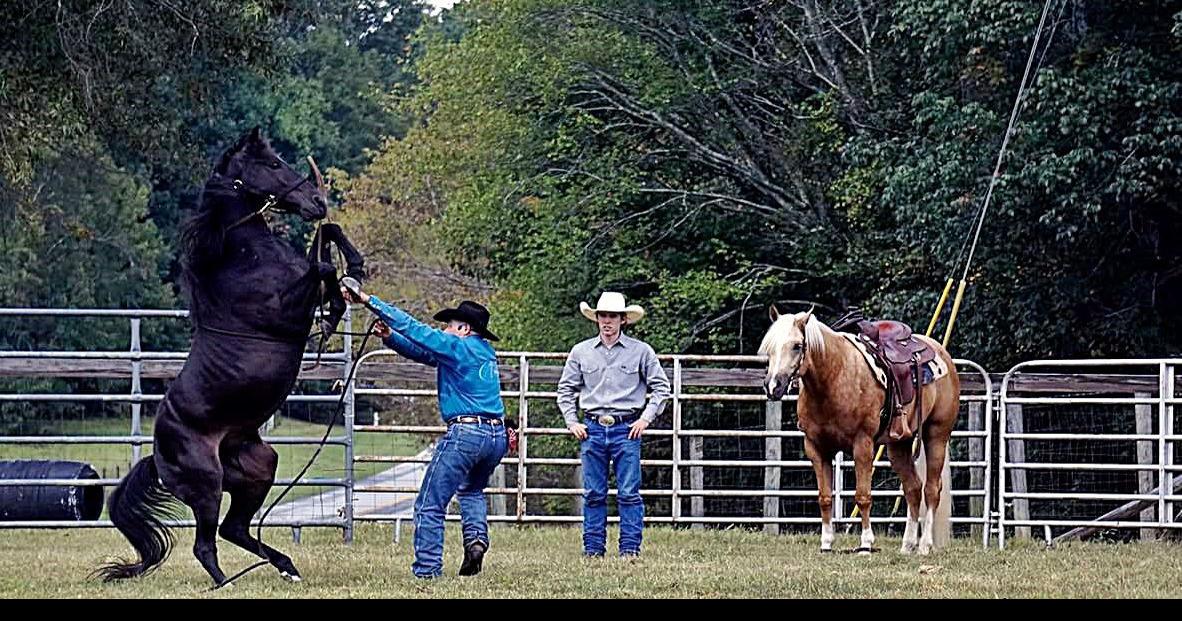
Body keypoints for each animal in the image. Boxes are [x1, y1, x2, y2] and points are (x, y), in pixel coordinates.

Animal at [97, 127, 366, 586]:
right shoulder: (284, 312)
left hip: (258, 468)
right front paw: (334, 306)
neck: (240, 254)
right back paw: (225, 582)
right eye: (272, 163)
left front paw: (354, 273)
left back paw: (287, 567)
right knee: (207, 542)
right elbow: (323, 269)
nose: (316, 201)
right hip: (207, 483)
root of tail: (157, 456)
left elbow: (327, 237)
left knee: (234, 528)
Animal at [759, 306, 959, 555]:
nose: (773, 386)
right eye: (769, 347)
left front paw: (865, 543)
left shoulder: (862, 444)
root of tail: (941, 353)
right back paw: (907, 545)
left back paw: (924, 545)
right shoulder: (815, 447)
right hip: (898, 445)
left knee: (932, 489)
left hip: (937, 435)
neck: (834, 377)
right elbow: (824, 497)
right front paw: (826, 543)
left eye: (797, 345)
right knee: (913, 487)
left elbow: (863, 496)